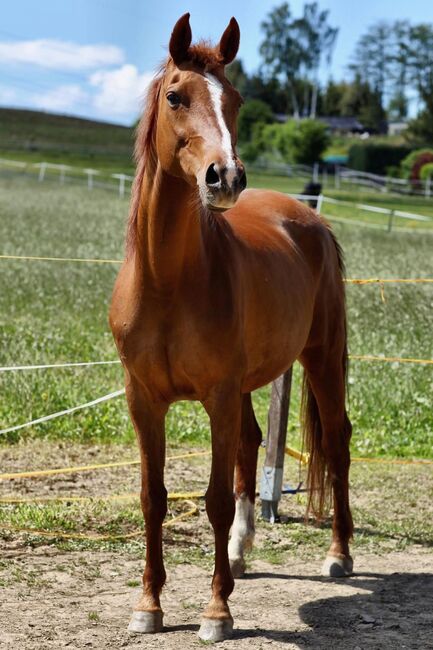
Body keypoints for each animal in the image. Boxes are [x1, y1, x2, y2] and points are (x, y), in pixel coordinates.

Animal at [109, 12, 352, 640]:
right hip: (246, 384)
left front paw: (216, 611)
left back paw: (339, 554)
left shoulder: (216, 395)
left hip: (320, 358)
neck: (168, 282)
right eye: (176, 96)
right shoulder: (144, 400)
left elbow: (215, 498)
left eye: (235, 100)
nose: (226, 178)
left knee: (336, 443)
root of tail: (310, 220)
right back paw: (241, 553)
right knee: (251, 442)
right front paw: (148, 605)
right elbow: (153, 496)